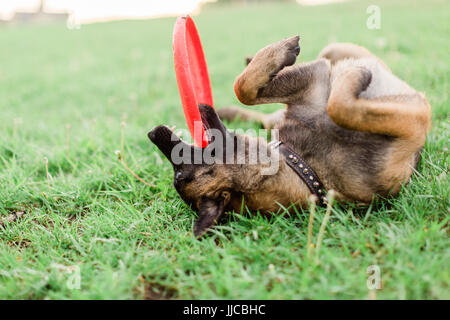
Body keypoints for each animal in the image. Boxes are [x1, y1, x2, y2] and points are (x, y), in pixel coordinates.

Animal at [149, 37, 432, 238]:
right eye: (178, 171)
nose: (153, 133)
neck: (306, 165)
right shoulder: (416, 121)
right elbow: (339, 106)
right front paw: (354, 76)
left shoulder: (313, 81)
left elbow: (244, 88)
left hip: (329, 52)